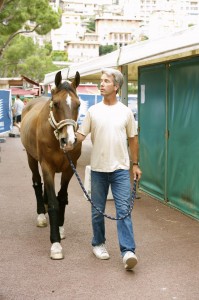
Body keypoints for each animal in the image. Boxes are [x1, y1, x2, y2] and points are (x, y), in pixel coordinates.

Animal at [20, 71, 82, 258]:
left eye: (78, 104)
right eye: (55, 104)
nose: (69, 140)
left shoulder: (69, 169)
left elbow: (62, 198)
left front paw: (60, 229)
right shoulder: (47, 166)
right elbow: (54, 202)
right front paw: (55, 243)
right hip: (31, 159)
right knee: (36, 182)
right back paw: (41, 214)